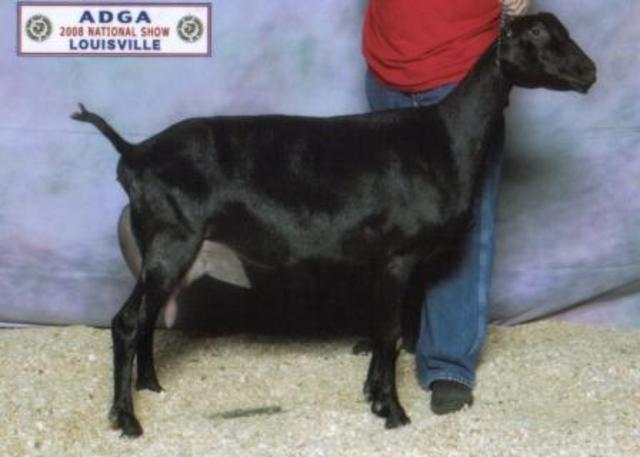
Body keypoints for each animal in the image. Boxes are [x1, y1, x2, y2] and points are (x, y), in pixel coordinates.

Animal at [72, 12, 596, 436]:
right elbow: (389, 333)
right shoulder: (399, 254)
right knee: (126, 321)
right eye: (537, 34)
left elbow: (388, 331)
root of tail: (134, 153)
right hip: (172, 240)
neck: (445, 138)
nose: (589, 71)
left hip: (166, 249)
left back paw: (151, 386)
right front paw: (394, 411)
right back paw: (128, 420)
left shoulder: (393, 261)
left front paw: (374, 396)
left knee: (148, 317)